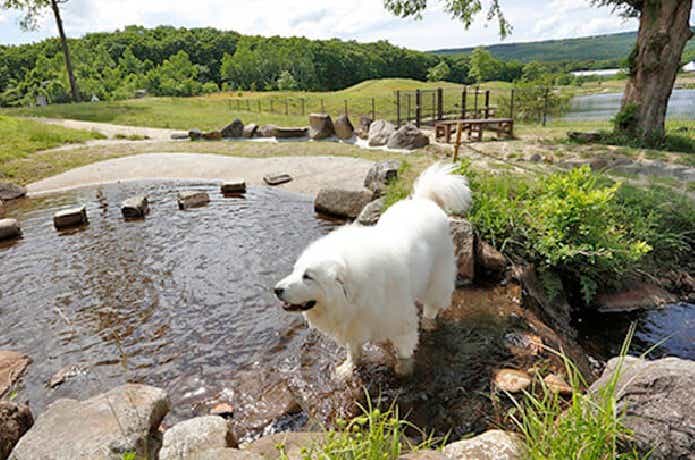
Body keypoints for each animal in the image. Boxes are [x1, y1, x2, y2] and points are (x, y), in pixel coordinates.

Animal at [274, 164, 470, 380]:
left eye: (307, 276)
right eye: (296, 271)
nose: (276, 289)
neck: (354, 293)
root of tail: (424, 200)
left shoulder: (400, 321)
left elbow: (404, 351)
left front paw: (403, 371)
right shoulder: (354, 322)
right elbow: (354, 350)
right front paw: (348, 369)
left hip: (438, 276)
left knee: (432, 304)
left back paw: (429, 322)